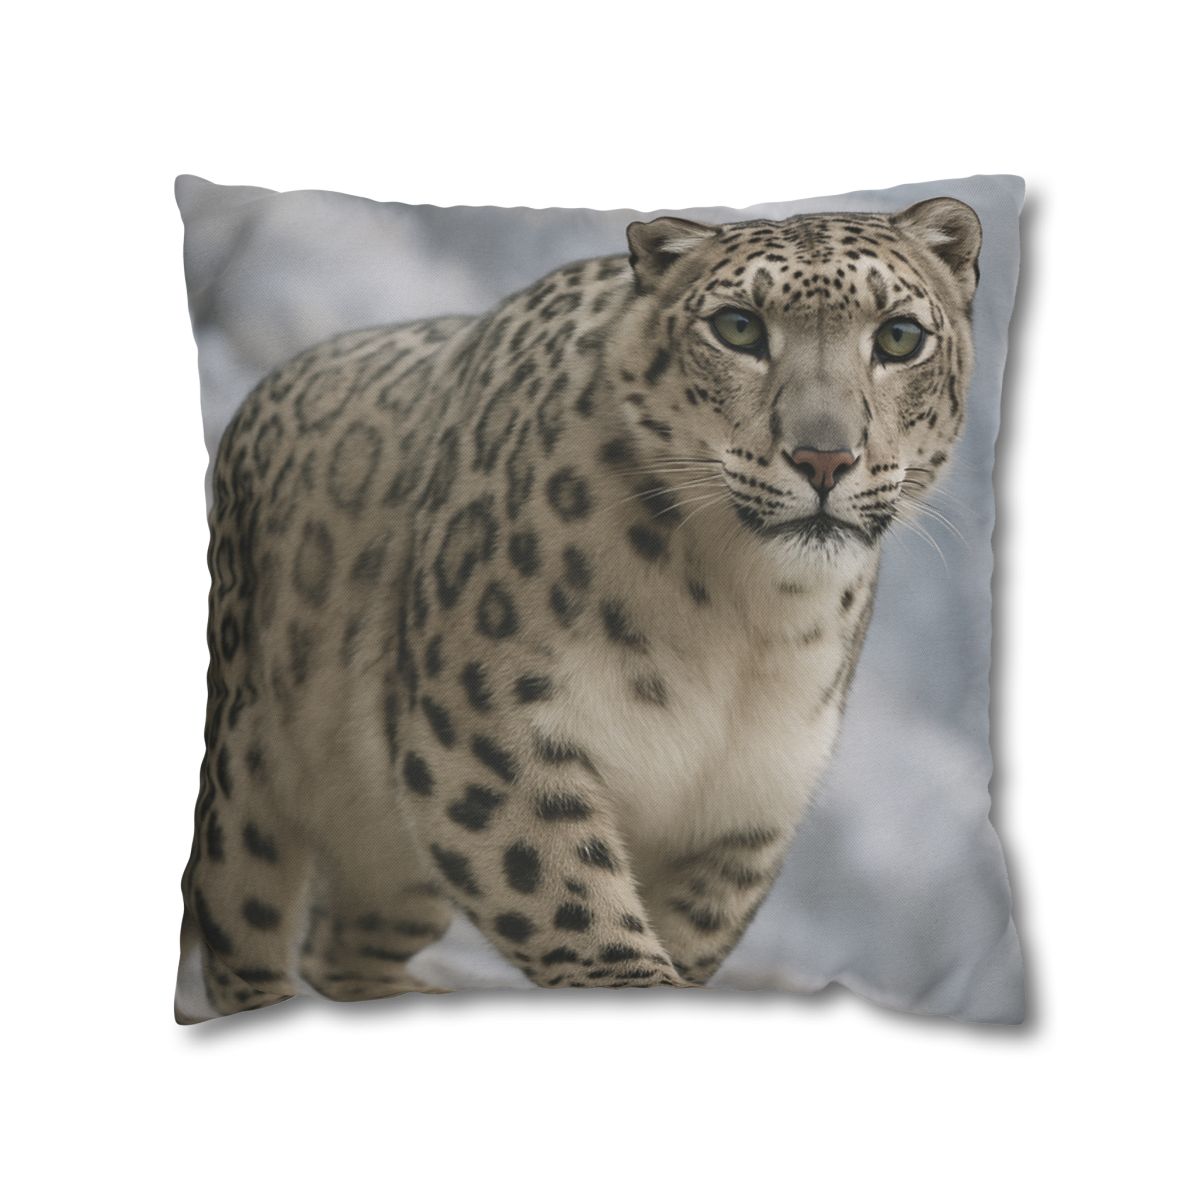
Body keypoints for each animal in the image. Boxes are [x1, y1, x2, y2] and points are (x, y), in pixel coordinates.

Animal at [175, 197, 982, 1021]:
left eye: (899, 336)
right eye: (738, 328)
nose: (825, 457)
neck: (746, 616)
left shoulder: (748, 801)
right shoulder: (486, 731)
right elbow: (572, 900)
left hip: (390, 864)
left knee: (344, 943)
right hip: (246, 773)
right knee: (243, 930)